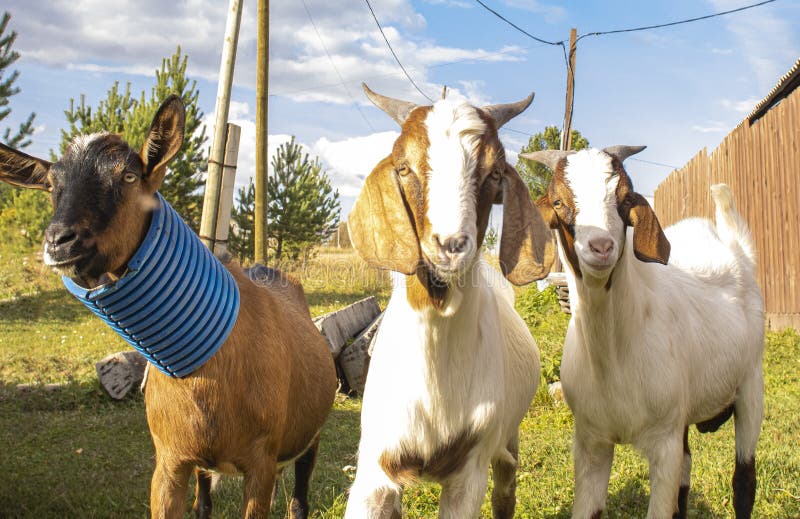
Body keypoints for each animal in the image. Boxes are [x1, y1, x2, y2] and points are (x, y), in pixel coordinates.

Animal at [0, 96, 338, 519]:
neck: (210, 375)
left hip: (310, 437)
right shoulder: (170, 462)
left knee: (299, 500)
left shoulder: (260, 464)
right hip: (207, 465)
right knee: (205, 503)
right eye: (51, 185)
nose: (59, 241)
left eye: (129, 177)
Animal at [344, 84, 554, 519]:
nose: (451, 246)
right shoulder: (375, 469)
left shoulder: (468, 472)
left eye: (495, 172)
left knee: (505, 490)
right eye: (403, 167)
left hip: (508, 436)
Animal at [522, 146, 764, 519]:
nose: (602, 247)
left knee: (744, 480)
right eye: (559, 201)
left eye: (623, 198)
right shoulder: (591, 441)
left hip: (750, 384)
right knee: (685, 475)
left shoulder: (663, 441)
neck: (613, 355)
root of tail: (736, 250)